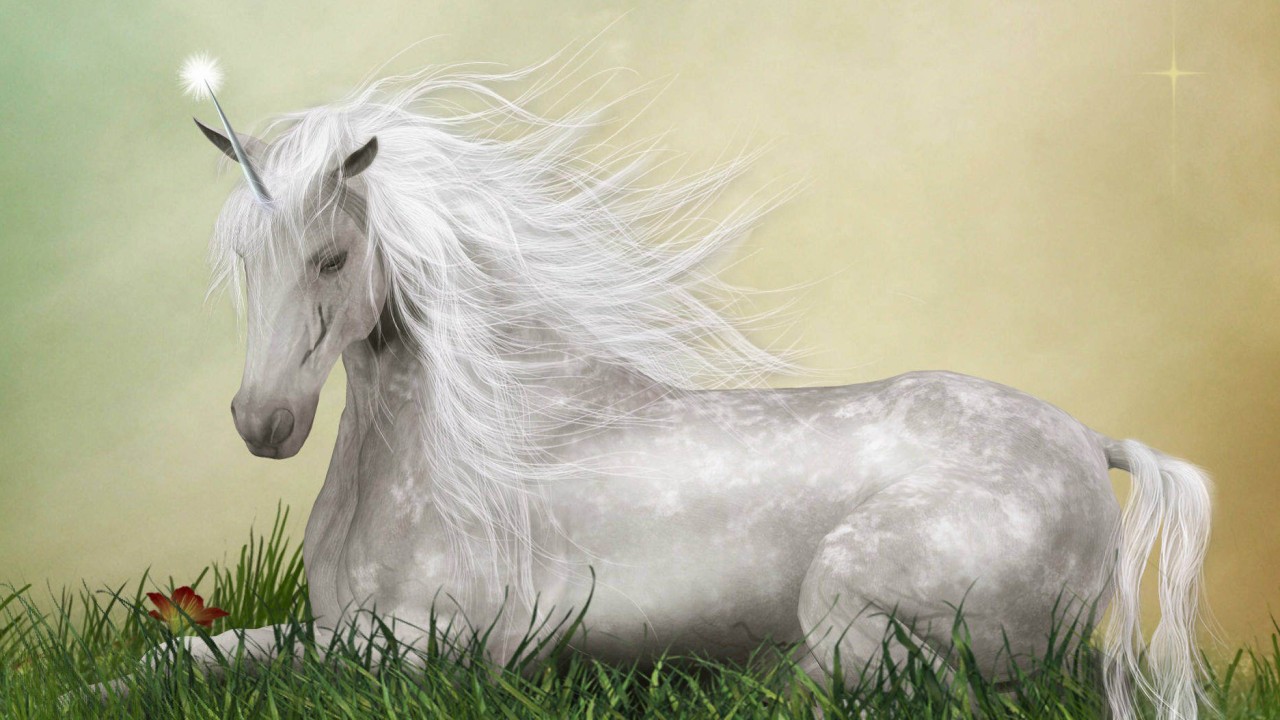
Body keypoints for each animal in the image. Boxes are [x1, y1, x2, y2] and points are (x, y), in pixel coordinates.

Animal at [99, 61, 1213, 718]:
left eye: (330, 257)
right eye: (243, 260)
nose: (265, 424)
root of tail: (1086, 440)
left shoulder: (429, 648)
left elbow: (258, 663)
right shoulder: (346, 625)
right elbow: (175, 661)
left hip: (854, 608)